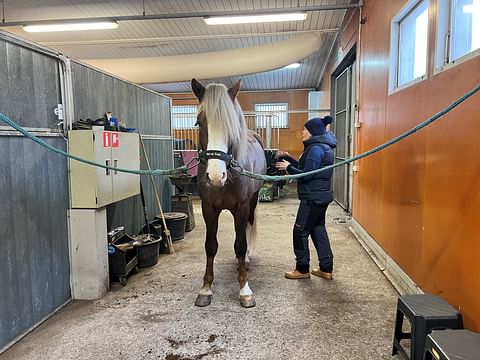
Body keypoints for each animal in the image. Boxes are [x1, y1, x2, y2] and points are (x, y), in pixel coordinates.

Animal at [191, 78, 266, 306]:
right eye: (199, 122)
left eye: (231, 125)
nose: (216, 176)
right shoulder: (208, 208)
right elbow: (210, 245)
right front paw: (206, 288)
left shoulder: (241, 207)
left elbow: (240, 245)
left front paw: (244, 289)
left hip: (253, 201)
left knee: (248, 228)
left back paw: (247, 259)